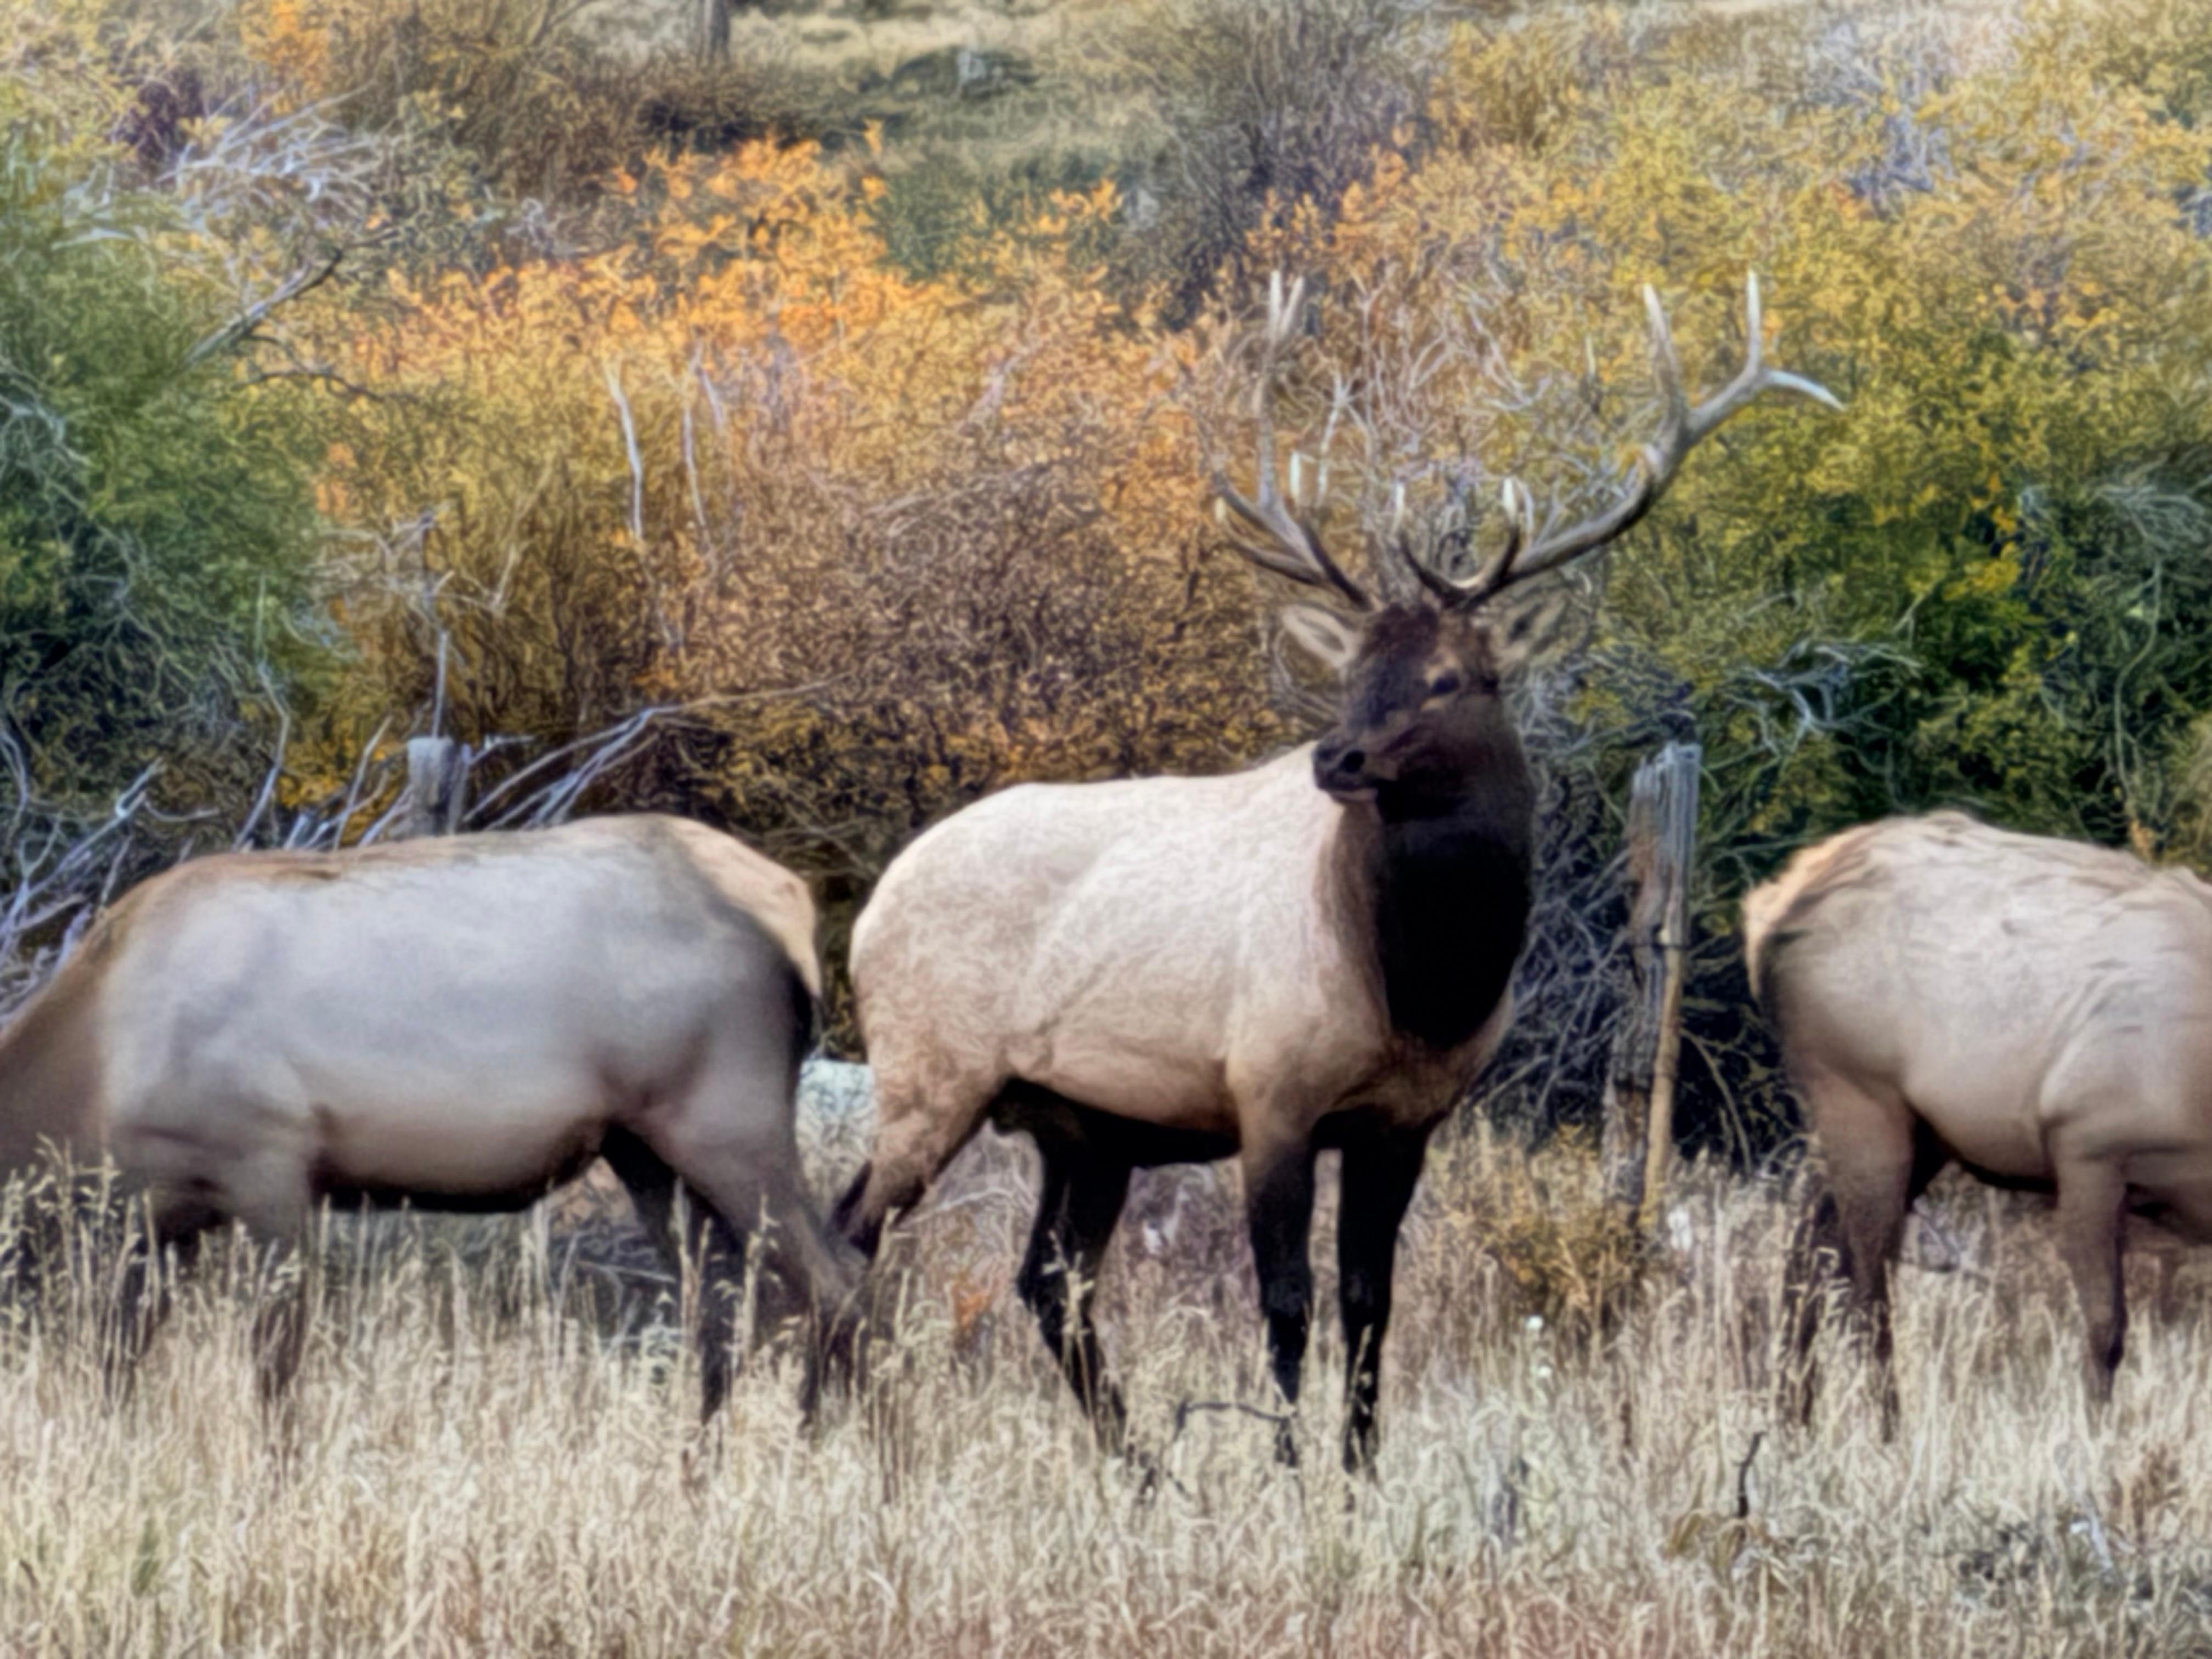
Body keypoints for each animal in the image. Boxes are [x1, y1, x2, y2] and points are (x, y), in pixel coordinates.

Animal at [0, 814, 862, 1417]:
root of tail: (795, 910)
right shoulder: (161, 1219)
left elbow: (277, 1370)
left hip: (727, 1122)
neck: (89, 1083)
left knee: (841, 1282)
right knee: (720, 1313)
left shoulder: (270, 1168)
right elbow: (119, 1365)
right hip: (646, 1153)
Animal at [833, 273, 1841, 1473]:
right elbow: (1287, 1302)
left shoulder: (1407, 1119)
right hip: (927, 1069)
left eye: (1456, 675)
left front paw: (1360, 1469)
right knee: (846, 1226)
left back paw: (1138, 1464)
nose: (1337, 758)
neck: (1418, 987)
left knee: (1049, 1281)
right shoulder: (1268, 1089)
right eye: (1354, 667)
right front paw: (1288, 1467)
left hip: (1084, 1123)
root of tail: (866, 909)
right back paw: (831, 1422)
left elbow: (1369, 1301)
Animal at [1748, 810, 2212, 1428]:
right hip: (1858, 1094)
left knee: (1810, 1243)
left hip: (1922, 1134)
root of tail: (1770, 914)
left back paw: (1790, 1417)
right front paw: (2094, 1437)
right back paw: (1885, 1428)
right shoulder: (2087, 1147)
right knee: (1865, 1280)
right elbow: (2105, 1329)